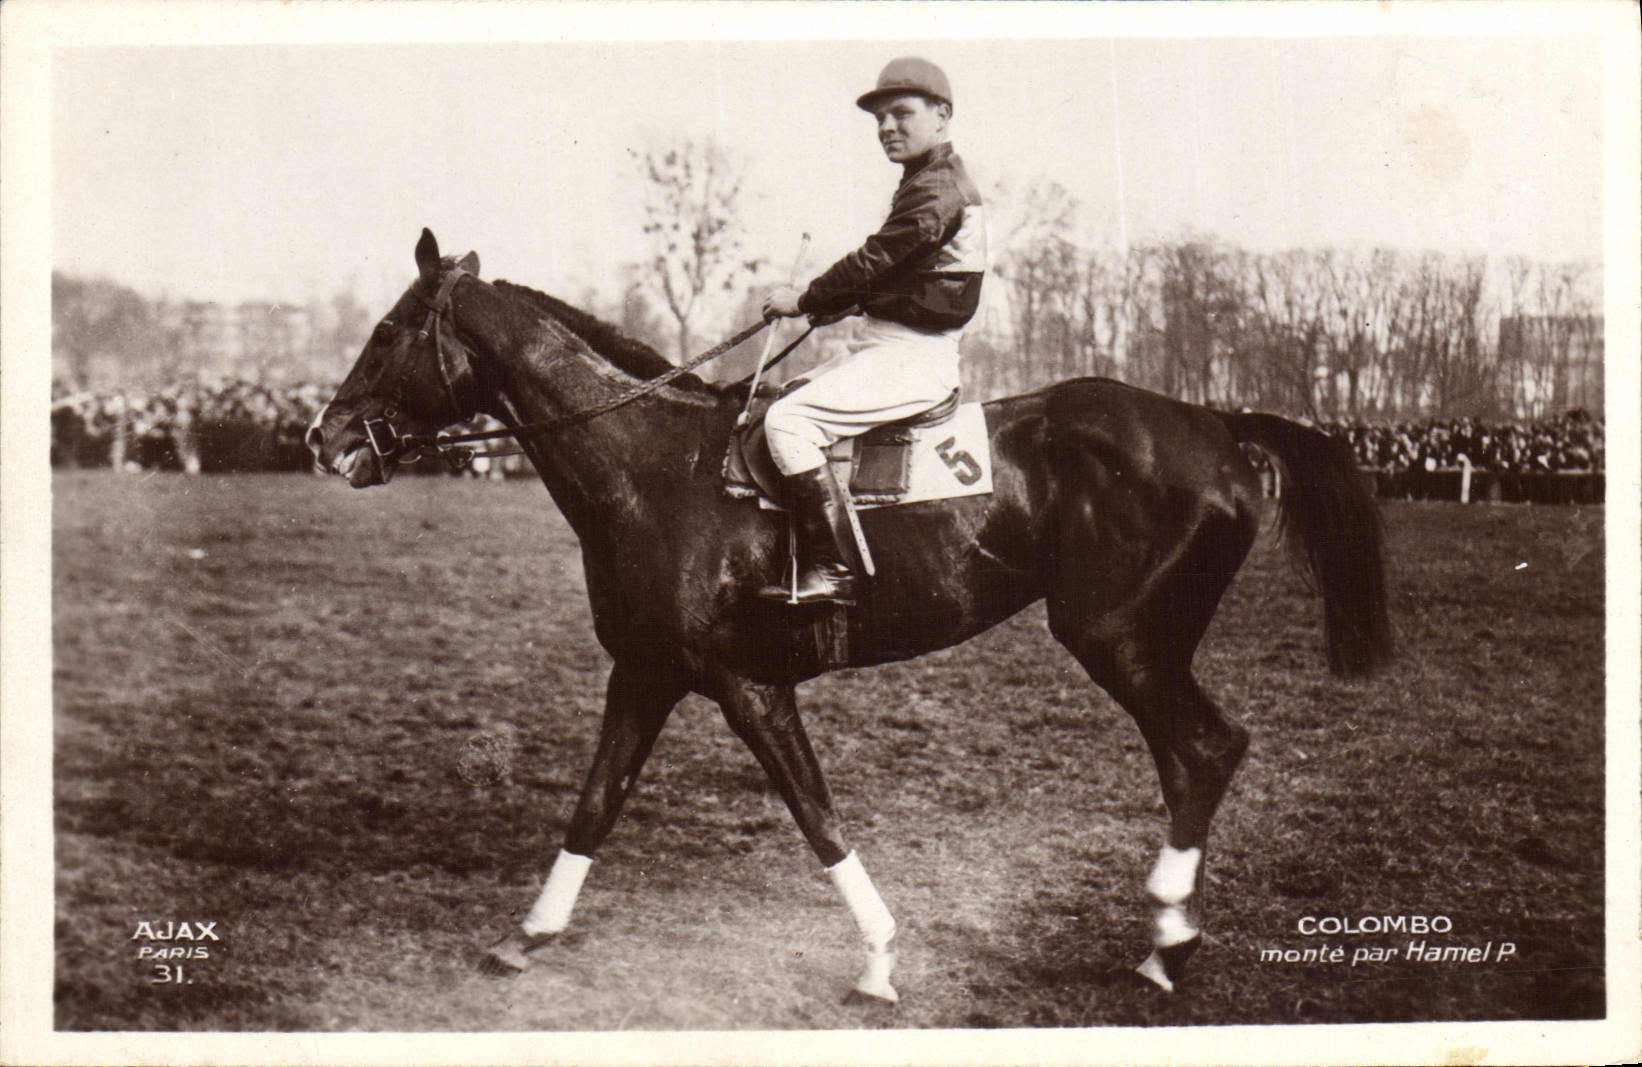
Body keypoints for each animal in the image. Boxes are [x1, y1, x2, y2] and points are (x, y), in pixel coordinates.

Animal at [306, 229, 1392, 1004]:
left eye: (390, 333)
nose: (323, 439)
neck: (653, 469)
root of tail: (1216, 424)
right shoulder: (647, 670)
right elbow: (595, 802)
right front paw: (526, 935)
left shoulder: (749, 686)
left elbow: (817, 816)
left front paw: (876, 958)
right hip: (1138, 643)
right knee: (1191, 755)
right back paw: (1169, 931)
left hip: (1116, 637)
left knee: (1204, 747)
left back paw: (1167, 938)